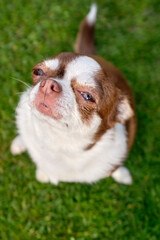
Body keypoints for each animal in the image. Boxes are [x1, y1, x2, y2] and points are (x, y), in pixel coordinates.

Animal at [10, 4, 136, 186]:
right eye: (38, 72)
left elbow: (114, 168)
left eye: (88, 96)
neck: (58, 143)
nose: (49, 85)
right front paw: (42, 173)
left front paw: (122, 174)